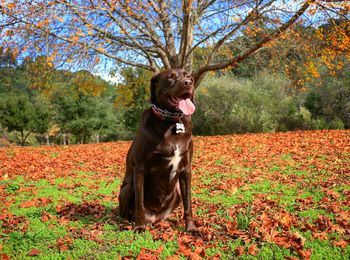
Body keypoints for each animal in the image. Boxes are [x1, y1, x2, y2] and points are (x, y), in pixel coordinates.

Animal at [119, 69, 198, 232]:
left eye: (188, 76)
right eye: (170, 77)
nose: (188, 83)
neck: (171, 122)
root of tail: (153, 218)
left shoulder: (186, 169)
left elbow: (188, 204)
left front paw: (191, 228)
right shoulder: (140, 168)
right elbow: (139, 202)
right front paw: (139, 227)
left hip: (177, 192)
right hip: (126, 189)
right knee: (125, 212)